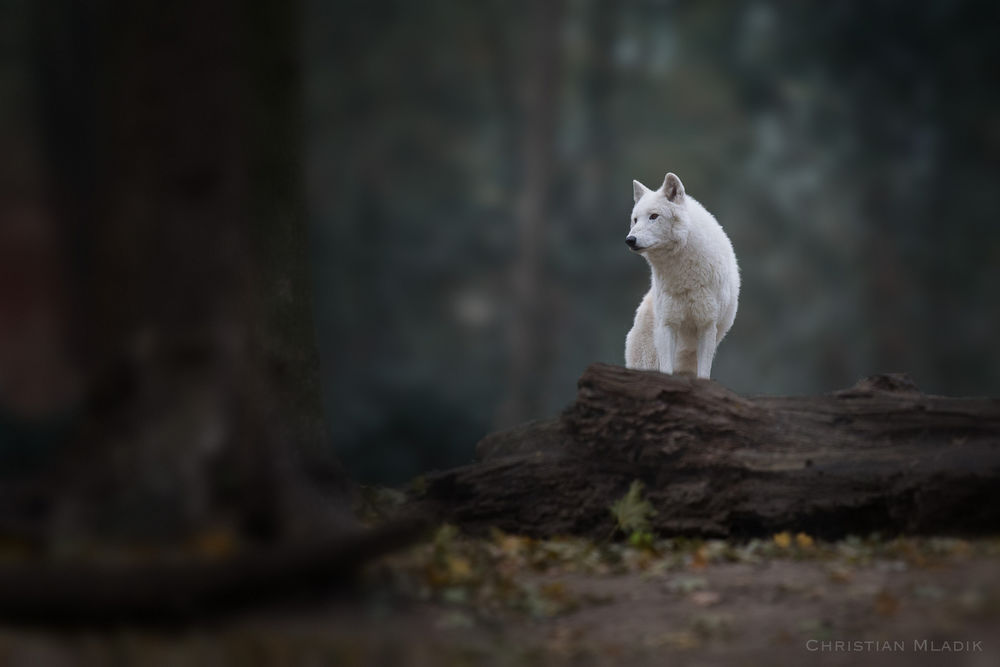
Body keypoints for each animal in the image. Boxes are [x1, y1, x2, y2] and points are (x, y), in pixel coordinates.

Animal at [624, 173, 739, 379]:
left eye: (654, 216)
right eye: (635, 219)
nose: (630, 239)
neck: (684, 276)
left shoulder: (707, 326)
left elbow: (704, 374)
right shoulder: (667, 325)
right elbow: (666, 371)